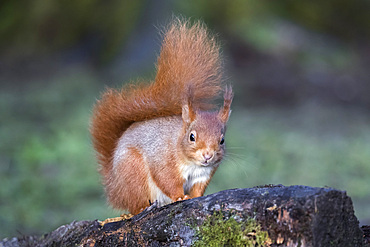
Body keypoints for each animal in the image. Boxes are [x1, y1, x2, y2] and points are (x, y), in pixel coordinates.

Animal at [90, 18, 233, 214]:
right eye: (192, 137)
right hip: (133, 172)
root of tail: (114, 187)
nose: (207, 155)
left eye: (222, 140)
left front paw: (195, 197)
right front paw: (180, 196)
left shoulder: (203, 174)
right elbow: (168, 181)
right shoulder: (163, 161)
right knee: (136, 203)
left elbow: (198, 188)